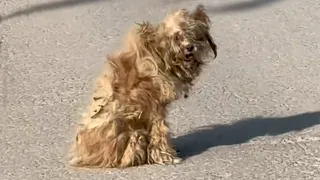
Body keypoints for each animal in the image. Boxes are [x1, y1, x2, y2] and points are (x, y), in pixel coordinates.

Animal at [67, 4, 218, 168]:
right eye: (175, 38)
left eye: (192, 34)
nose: (190, 47)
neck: (159, 56)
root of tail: (83, 157)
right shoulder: (155, 109)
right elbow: (160, 133)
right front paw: (167, 157)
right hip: (135, 135)